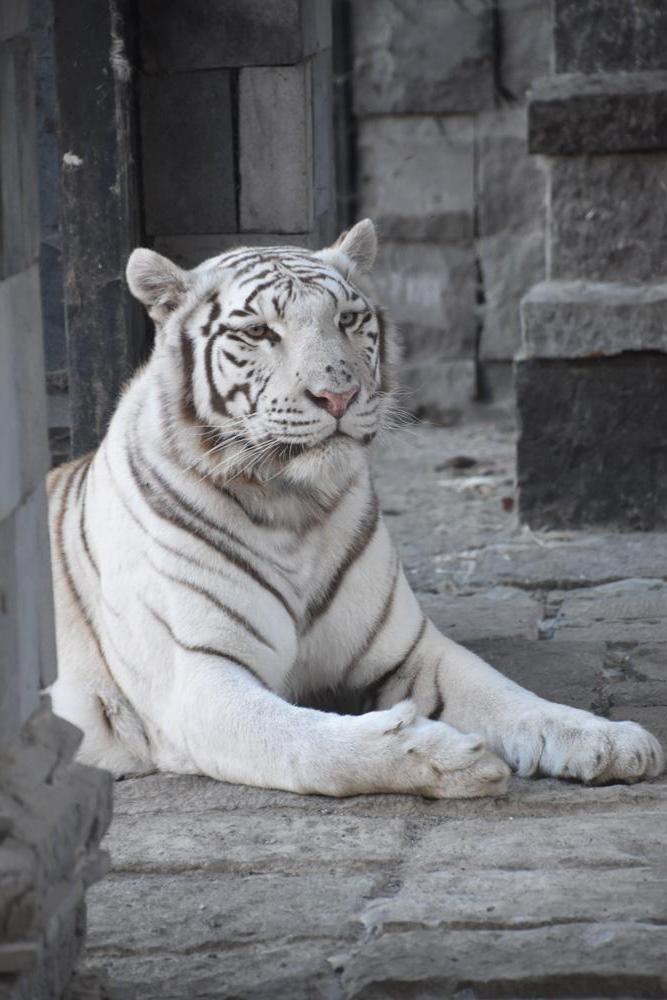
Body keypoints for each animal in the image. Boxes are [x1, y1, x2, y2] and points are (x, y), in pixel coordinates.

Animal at [47, 220, 664, 798]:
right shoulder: (199, 679)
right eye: (258, 331)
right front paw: (446, 758)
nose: (338, 396)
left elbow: (506, 692)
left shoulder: (409, 649)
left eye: (346, 319)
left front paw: (607, 739)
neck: (291, 507)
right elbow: (302, 741)